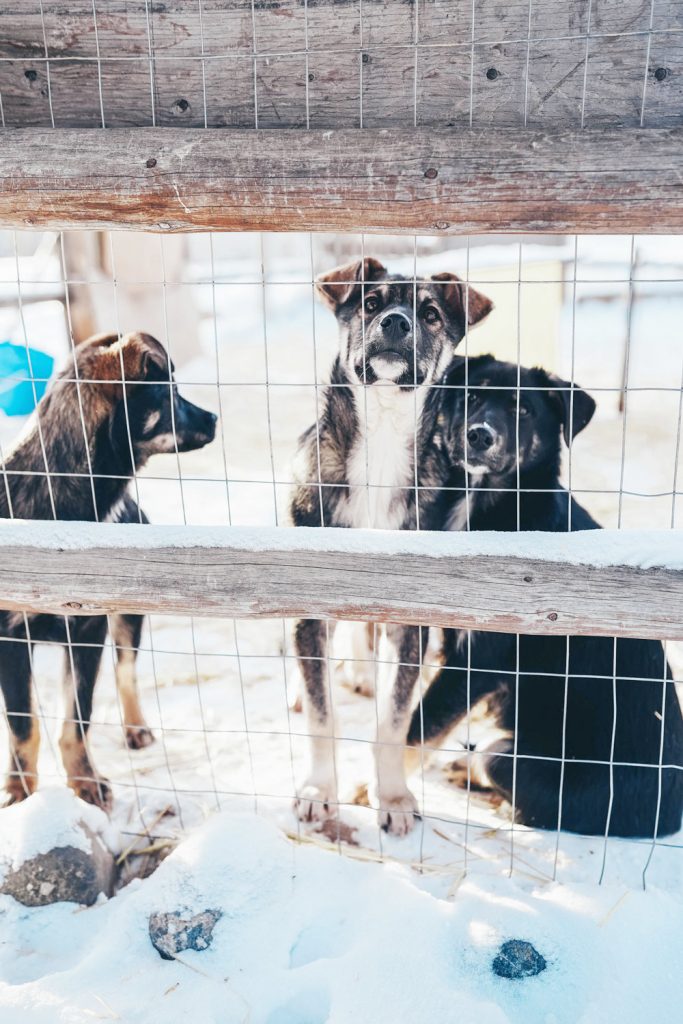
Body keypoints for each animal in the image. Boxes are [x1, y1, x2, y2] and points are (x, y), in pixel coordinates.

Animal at [0, 333, 216, 806]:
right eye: (169, 394)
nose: (214, 417)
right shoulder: (11, 638)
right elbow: (24, 725)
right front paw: (20, 790)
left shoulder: (88, 629)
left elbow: (77, 718)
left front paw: (83, 780)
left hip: (129, 614)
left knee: (126, 672)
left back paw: (136, 728)